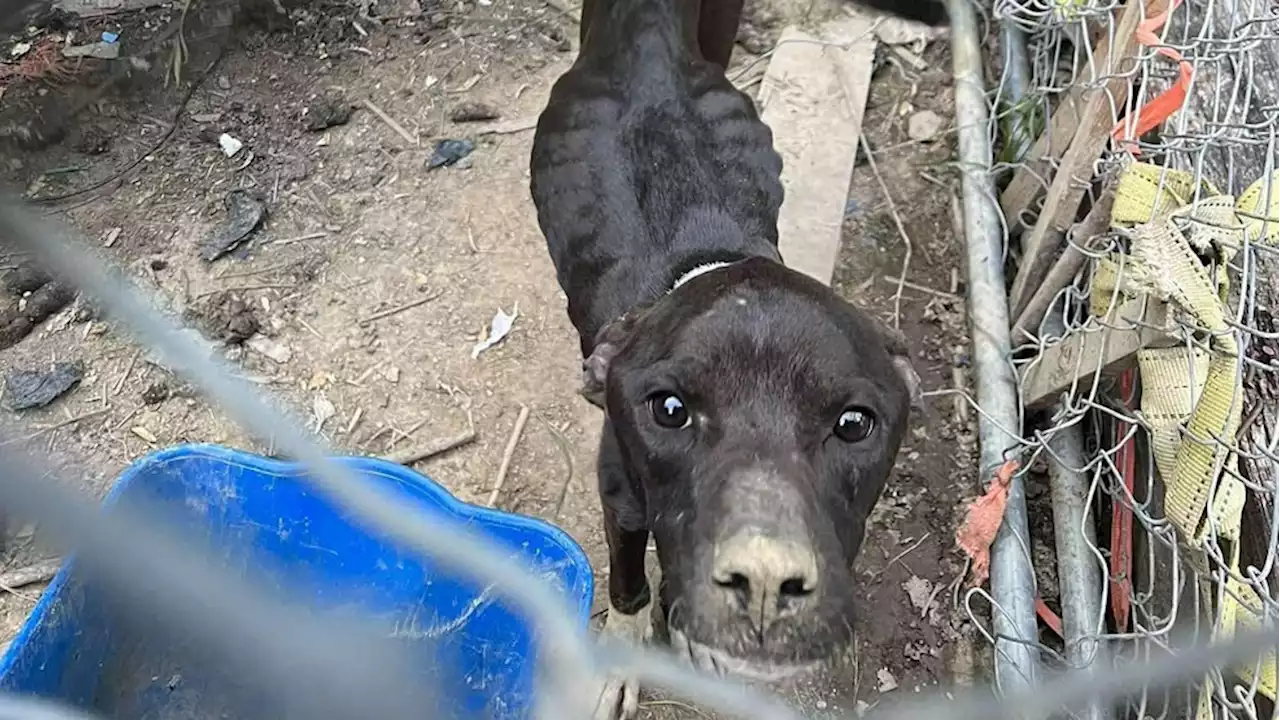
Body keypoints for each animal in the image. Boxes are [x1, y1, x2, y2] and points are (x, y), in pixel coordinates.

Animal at [527, 0, 942, 712]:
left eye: (854, 423)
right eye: (668, 410)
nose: (767, 581)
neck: (702, 259)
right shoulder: (620, 500)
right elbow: (628, 583)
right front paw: (622, 659)